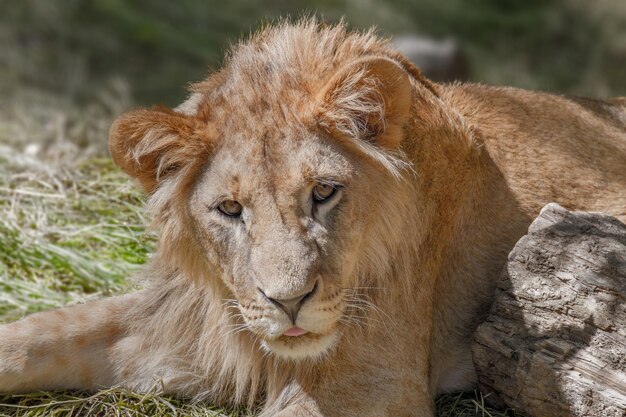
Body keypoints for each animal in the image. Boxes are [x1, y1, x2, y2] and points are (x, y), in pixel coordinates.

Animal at [1, 19, 624, 416]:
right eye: (230, 209)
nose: (289, 302)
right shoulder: (181, 322)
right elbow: (35, 334)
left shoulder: (370, 386)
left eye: (324, 192)